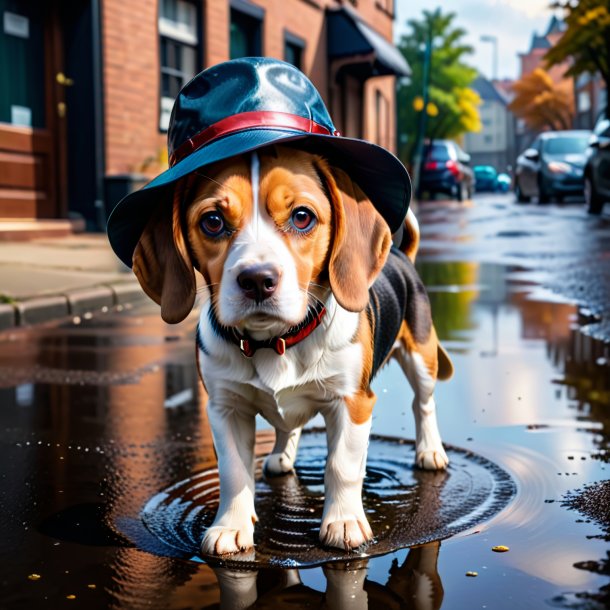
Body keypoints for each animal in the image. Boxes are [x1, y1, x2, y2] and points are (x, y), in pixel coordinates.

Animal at [129, 145, 452, 552]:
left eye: (302, 217)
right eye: (213, 222)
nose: (257, 280)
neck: (276, 340)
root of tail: (401, 254)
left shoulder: (353, 402)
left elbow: (341, 466)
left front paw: (344, 521)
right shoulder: (224, 408)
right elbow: (233, 471)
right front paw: (231, 526)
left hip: (421, 357)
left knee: (423, 404)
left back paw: (430, 451)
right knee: (288, 426)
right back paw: (281, 455)